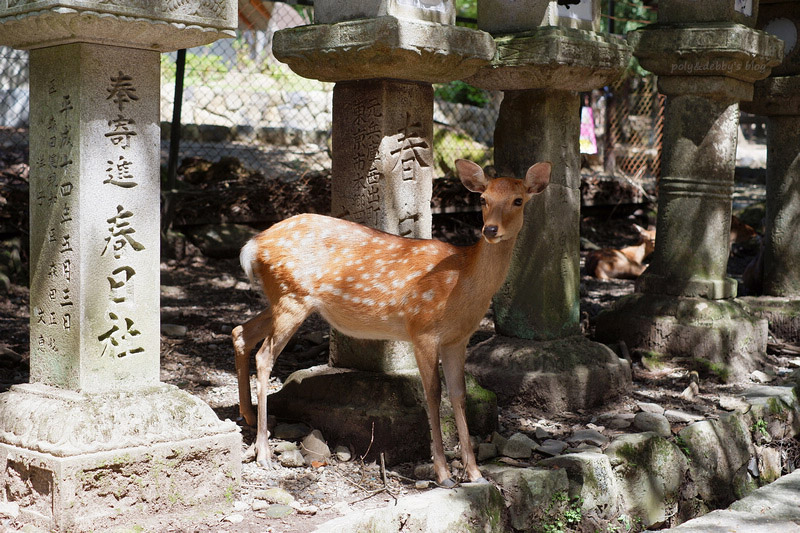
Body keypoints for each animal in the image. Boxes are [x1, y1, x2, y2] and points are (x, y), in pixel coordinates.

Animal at [233, 159, 552, 486]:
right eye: (484, 199)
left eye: (518, 200)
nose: (490, 229)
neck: (462, 282)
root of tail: (253, 245)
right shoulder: (422, 328)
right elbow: (433, 394)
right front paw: (443, 474)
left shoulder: (457, 339)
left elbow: (460, 395)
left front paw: (475, 473)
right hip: (291, 297)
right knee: (264, 355)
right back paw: (263, 452)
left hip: (284, 299)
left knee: (241, 332)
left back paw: (248, 416)